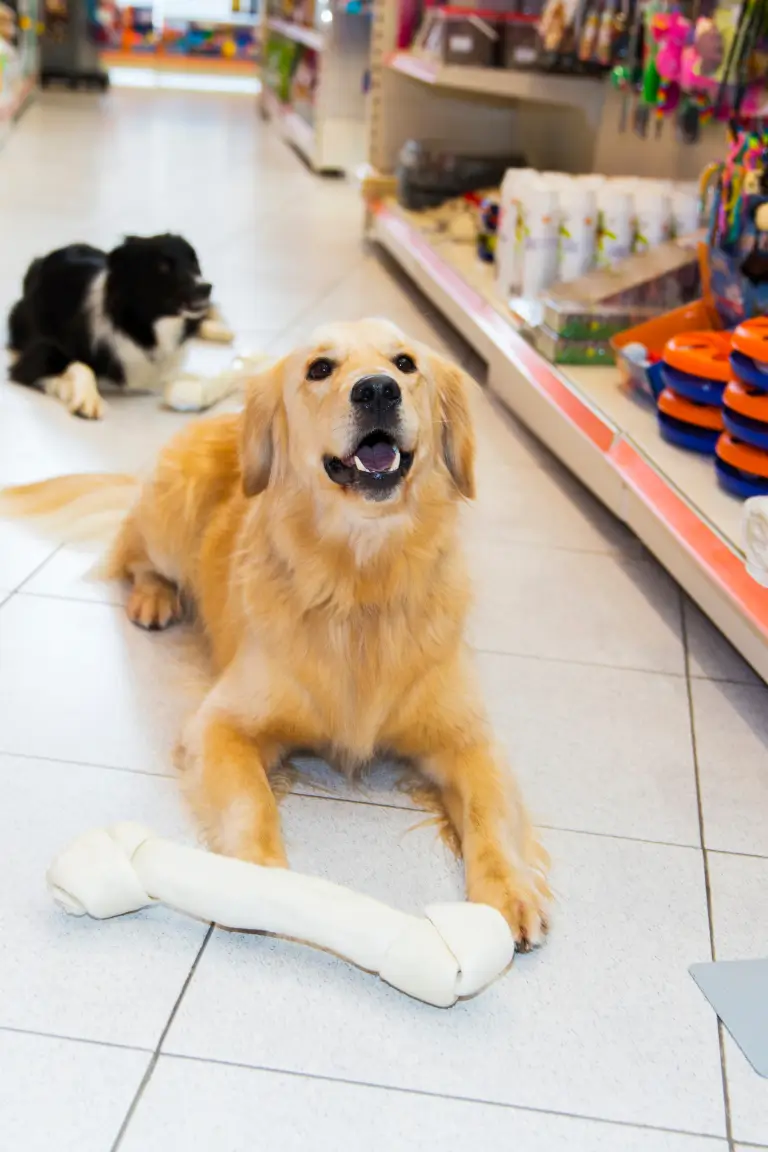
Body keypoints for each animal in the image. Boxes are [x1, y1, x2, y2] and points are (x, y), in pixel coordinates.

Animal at [6, 233, 227, 419]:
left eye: (194, 263)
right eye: (163, 266)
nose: (206, 287)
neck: (139, 329)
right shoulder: (34, 357)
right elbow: (80, 365)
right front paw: (87, 398)